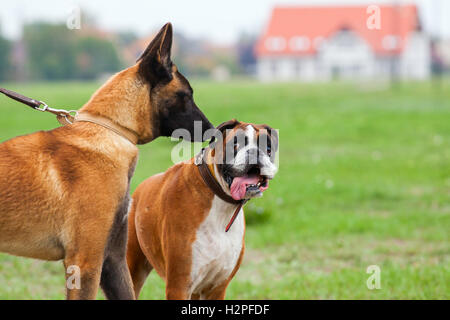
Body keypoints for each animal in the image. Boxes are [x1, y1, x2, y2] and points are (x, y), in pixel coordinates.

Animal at [126, 120, 278, 300]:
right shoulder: (179, 287)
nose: (255, 152)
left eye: (268, 148)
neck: (221, 203)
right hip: (132, 271)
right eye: (236, 144)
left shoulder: (217, 288)